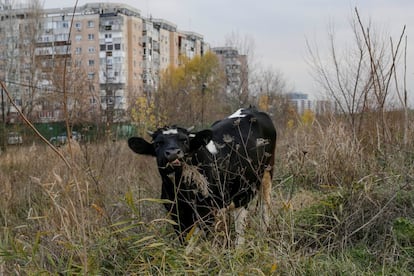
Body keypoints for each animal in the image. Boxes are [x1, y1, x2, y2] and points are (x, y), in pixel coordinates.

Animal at [129, 106, 278, 245]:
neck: (180, 189)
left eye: (184, 140)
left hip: (267, 172)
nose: (173, 153)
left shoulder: (206, 212)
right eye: (158, 143)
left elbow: (192, 245)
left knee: (262, 208)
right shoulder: (176, 213)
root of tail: (251, 109)